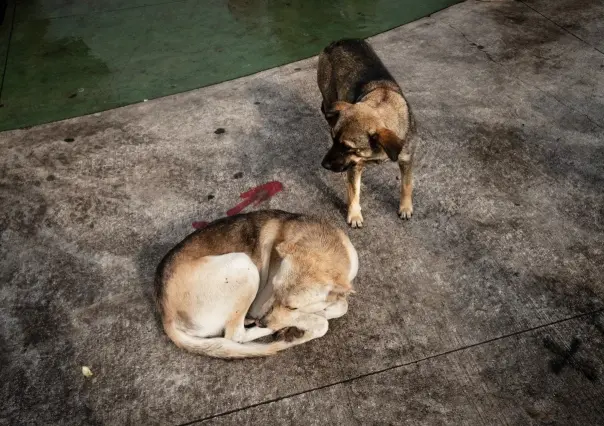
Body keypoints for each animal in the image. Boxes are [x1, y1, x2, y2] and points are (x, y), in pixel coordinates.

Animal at [316, 38, 416, 228]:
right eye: (333, 140)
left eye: (348, 147)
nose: (324, 165)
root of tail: (337, 41)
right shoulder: (355, 166)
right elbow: (353, 191)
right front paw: (354, 215)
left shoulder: (406, 160)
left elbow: (406, 185)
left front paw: (406, 207)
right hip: (329, 94)